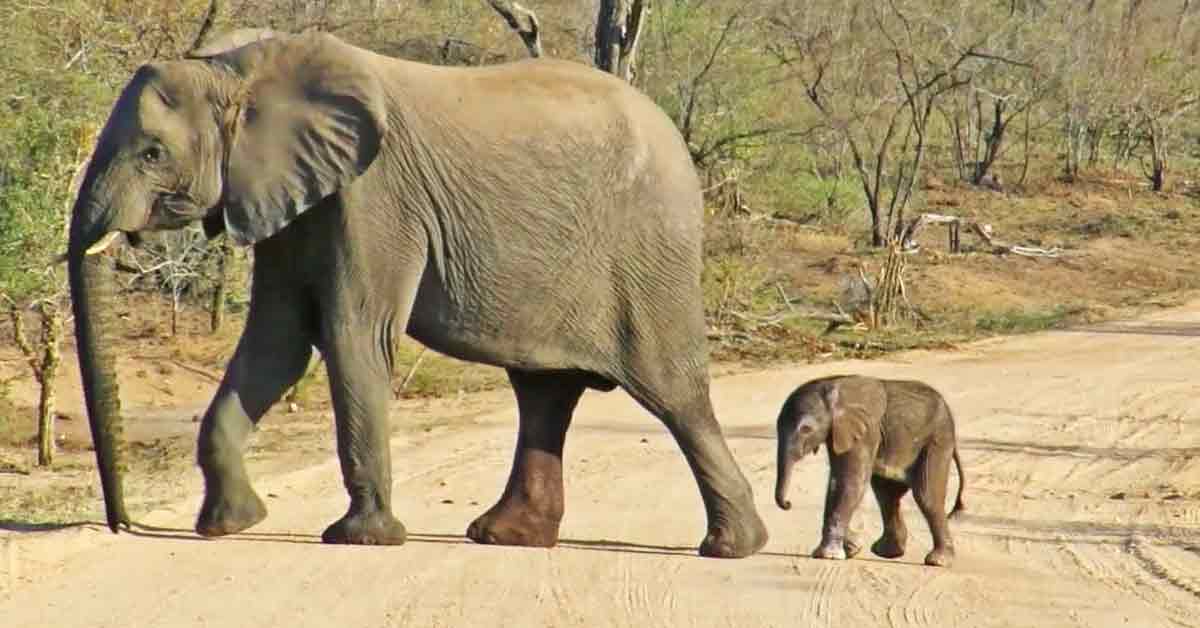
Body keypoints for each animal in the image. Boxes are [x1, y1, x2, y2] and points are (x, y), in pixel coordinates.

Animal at [68, 30, 768, 559]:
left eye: (152, 153)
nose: (123, 526)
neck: (236, 68)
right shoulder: (295, 199)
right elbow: (276, 343)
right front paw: (227, 526)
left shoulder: (375, 196)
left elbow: (353, 333)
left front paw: (360, 540)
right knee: (544, 393)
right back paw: (506, 537)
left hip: (649, 253)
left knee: (672, 392)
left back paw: (733, 548)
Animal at [772, 379, 969, 569]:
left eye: (806, 429)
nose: (788, 504)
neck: (832, 387)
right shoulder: (841, 433)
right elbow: (838, 482)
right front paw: (853, 548)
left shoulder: (865, 432)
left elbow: (850, 482)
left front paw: (828, 555)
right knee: (887, 495)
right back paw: (888, 553)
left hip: (937, 440)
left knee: (926, 496)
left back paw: (938, 561)